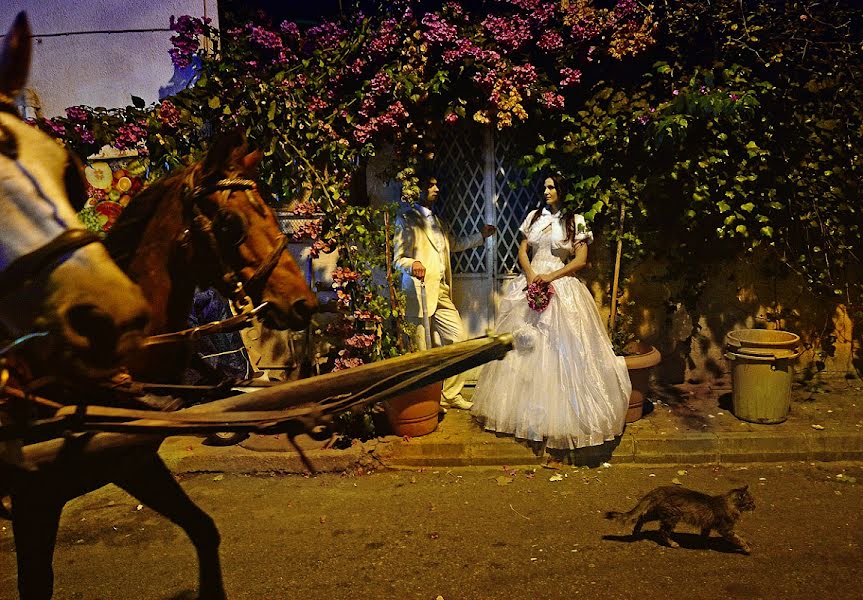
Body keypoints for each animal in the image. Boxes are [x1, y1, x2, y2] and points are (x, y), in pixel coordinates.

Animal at [608, 482, 756, 552]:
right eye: (750, 502)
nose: (755, 506)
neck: (729, 503)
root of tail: (660, 489)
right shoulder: (725, 529)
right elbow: (739, 539)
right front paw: (746, 547)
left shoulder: (706, 525)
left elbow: (704, 535)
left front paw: (703, 543)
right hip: (671, 517)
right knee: (662, 531)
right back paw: (672, 543)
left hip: (659, 513)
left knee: (642, 516)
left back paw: (636, 531)